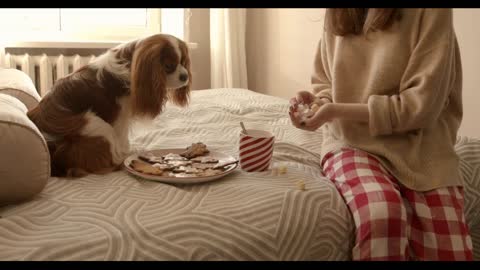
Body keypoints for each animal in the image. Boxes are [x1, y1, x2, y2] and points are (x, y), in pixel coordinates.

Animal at [27, 33, 191, 177]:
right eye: (169, 66)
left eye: (183, 62)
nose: (185, 76)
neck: (130, 65)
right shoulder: (120, 116)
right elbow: (121, 137)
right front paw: (127, 151)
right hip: (93, 123)